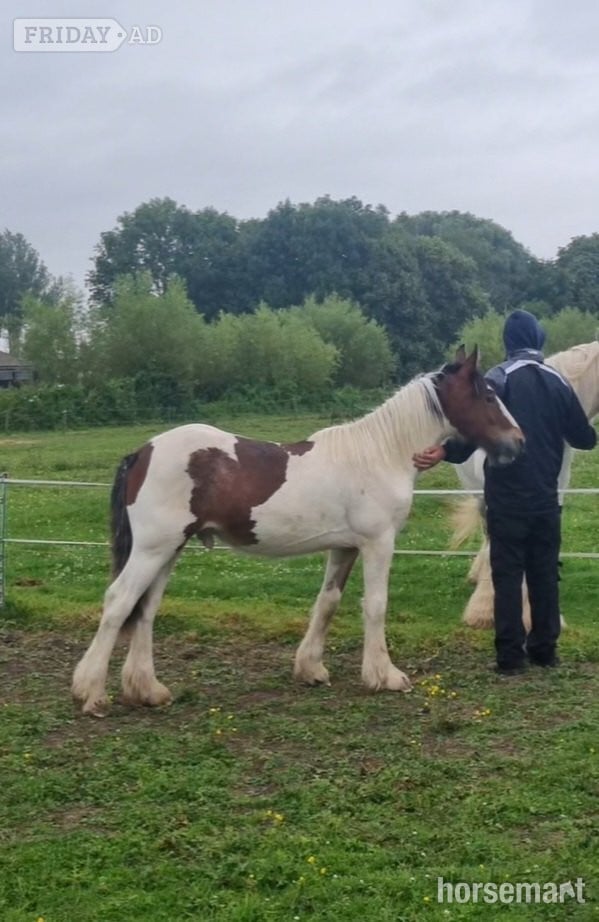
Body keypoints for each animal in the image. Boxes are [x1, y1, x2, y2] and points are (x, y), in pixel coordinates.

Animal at [72, 347, 524, 716]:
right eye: (487, 395)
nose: (518, 442)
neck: (380, 454)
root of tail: (142, 451)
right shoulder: (378, 543)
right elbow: (376, 605)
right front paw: (385, 675)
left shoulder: (345, 547)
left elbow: (327, 603)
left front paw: (311, 669)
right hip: (153, 548)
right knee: (119, 602)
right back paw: (91, 693)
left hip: (169, 550)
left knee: (145, 610)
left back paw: (147, 690)